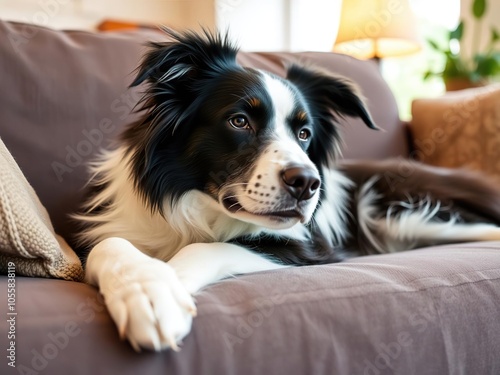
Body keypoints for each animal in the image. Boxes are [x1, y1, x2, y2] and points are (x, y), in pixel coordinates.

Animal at [78, 29, 500, 352]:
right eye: (239, 121)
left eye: (304, 133)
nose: (308, 184)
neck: (198, 207)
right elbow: (109, 245)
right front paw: (145, 289)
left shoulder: (306, 248)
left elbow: (209, 248)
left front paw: (163, 290)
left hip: (405, 213)